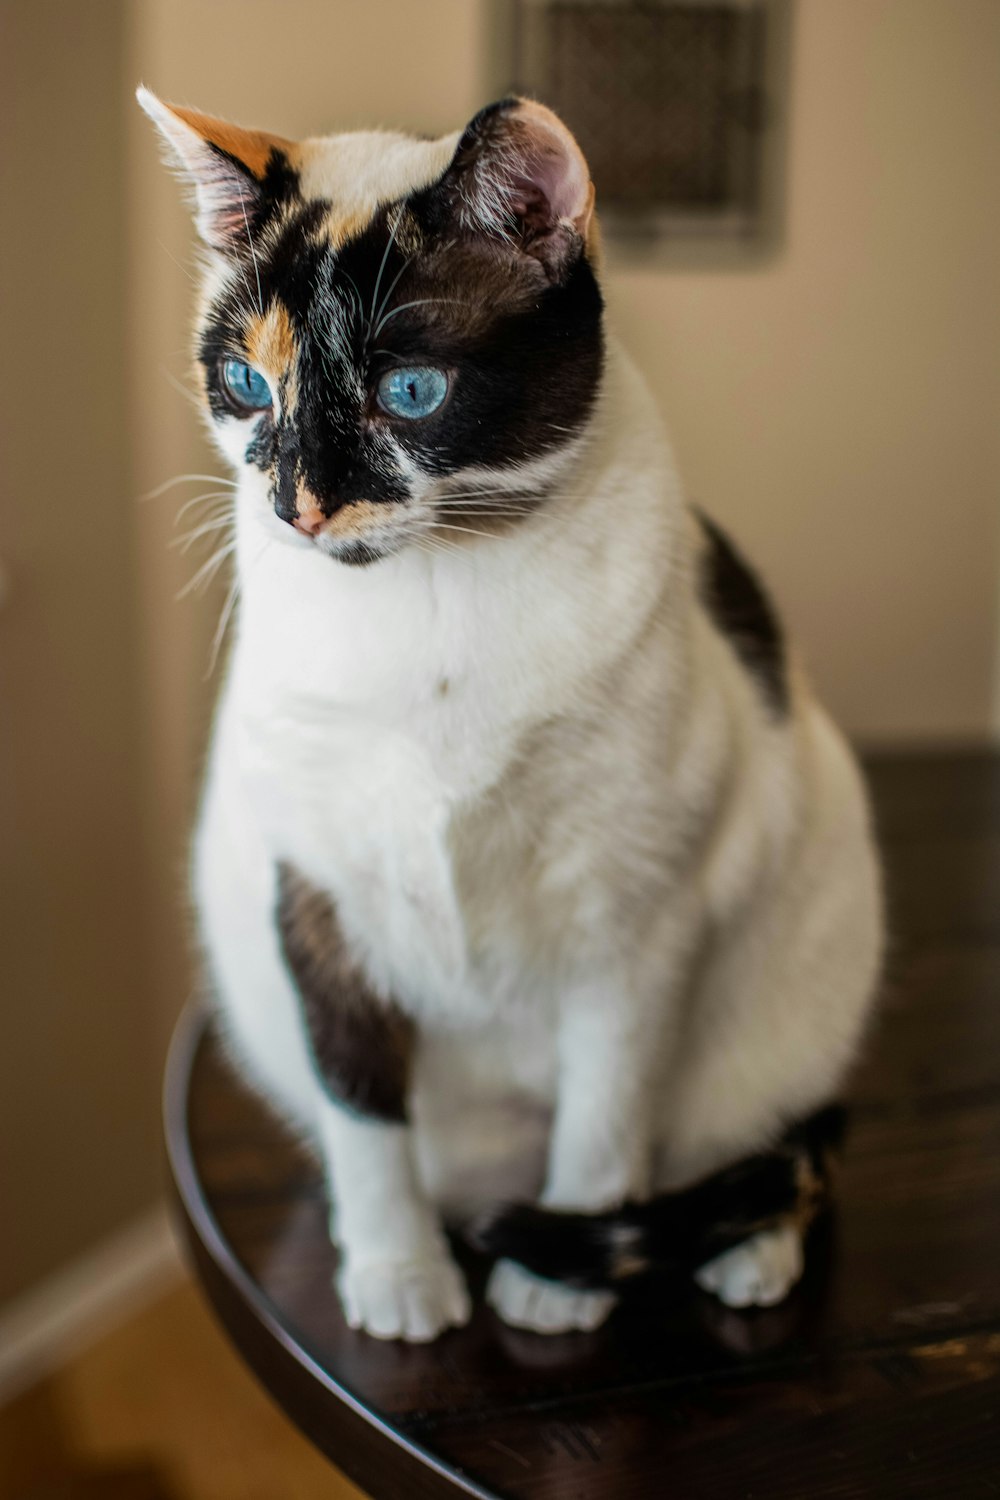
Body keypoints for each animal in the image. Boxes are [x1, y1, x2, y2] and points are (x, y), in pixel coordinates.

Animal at [140, 87, 881, 1344]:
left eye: (410, 392)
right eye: (247, 384)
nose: (297, 504)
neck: (430, 606)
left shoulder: (636, 922)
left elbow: (603, 1127)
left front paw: (554, 1286)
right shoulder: (313, 898)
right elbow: (363, 1111)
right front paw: (398, 1280)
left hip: (795, 986)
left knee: (753, 1148)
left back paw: (738, 1255)